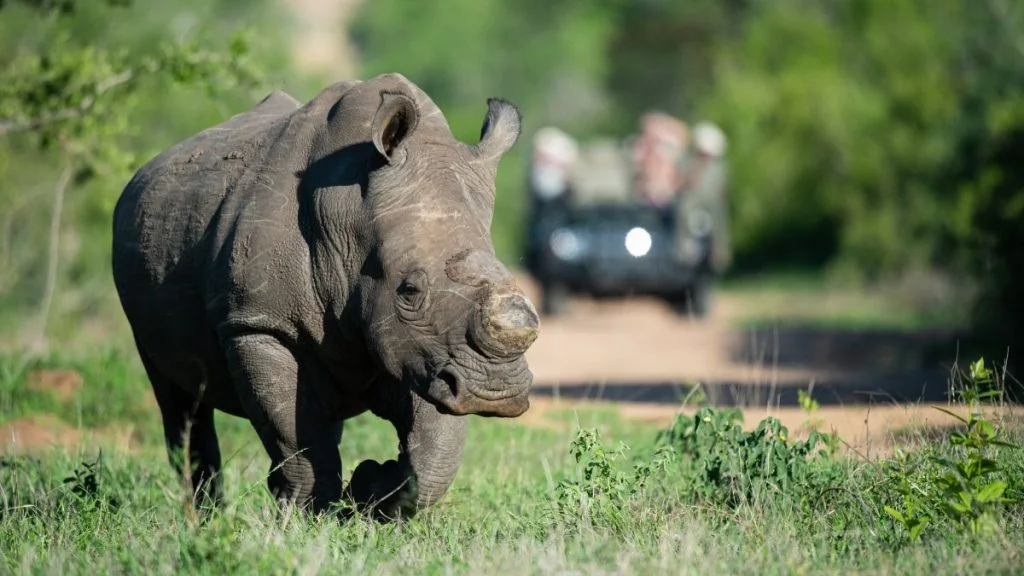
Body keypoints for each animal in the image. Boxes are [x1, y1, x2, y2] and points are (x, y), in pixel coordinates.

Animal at [111, 72, 540, 519]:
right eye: (409, 292)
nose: (495, 391)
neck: (351, 218)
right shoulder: (257, 324)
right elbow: (295, 438)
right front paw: (304, 516)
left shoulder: (432, 351)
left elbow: (435, 456)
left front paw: (370, 485)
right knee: (179, 401)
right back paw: (206, 520)